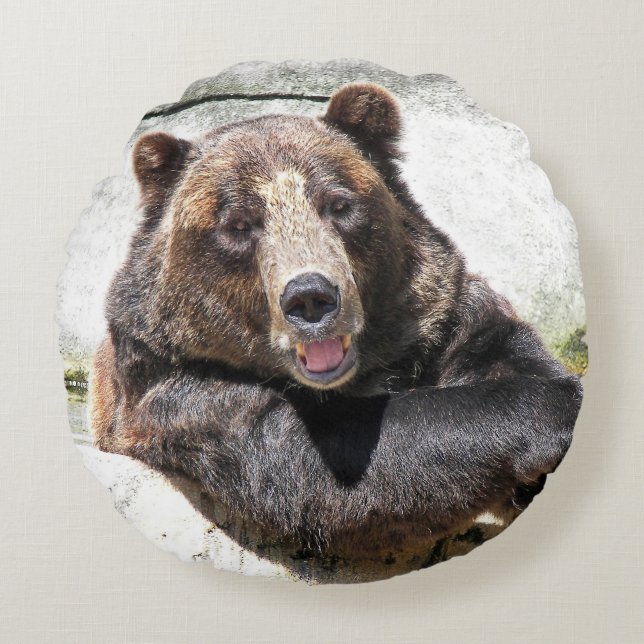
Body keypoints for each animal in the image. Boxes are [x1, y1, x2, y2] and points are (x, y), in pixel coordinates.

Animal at [90, 83, 582, 560]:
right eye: (238, 224)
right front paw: (552, 410)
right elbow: (318, 463)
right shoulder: (183, 392)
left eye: (338, 203)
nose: (310, 297)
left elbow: (506, 354)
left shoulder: (446, 321)